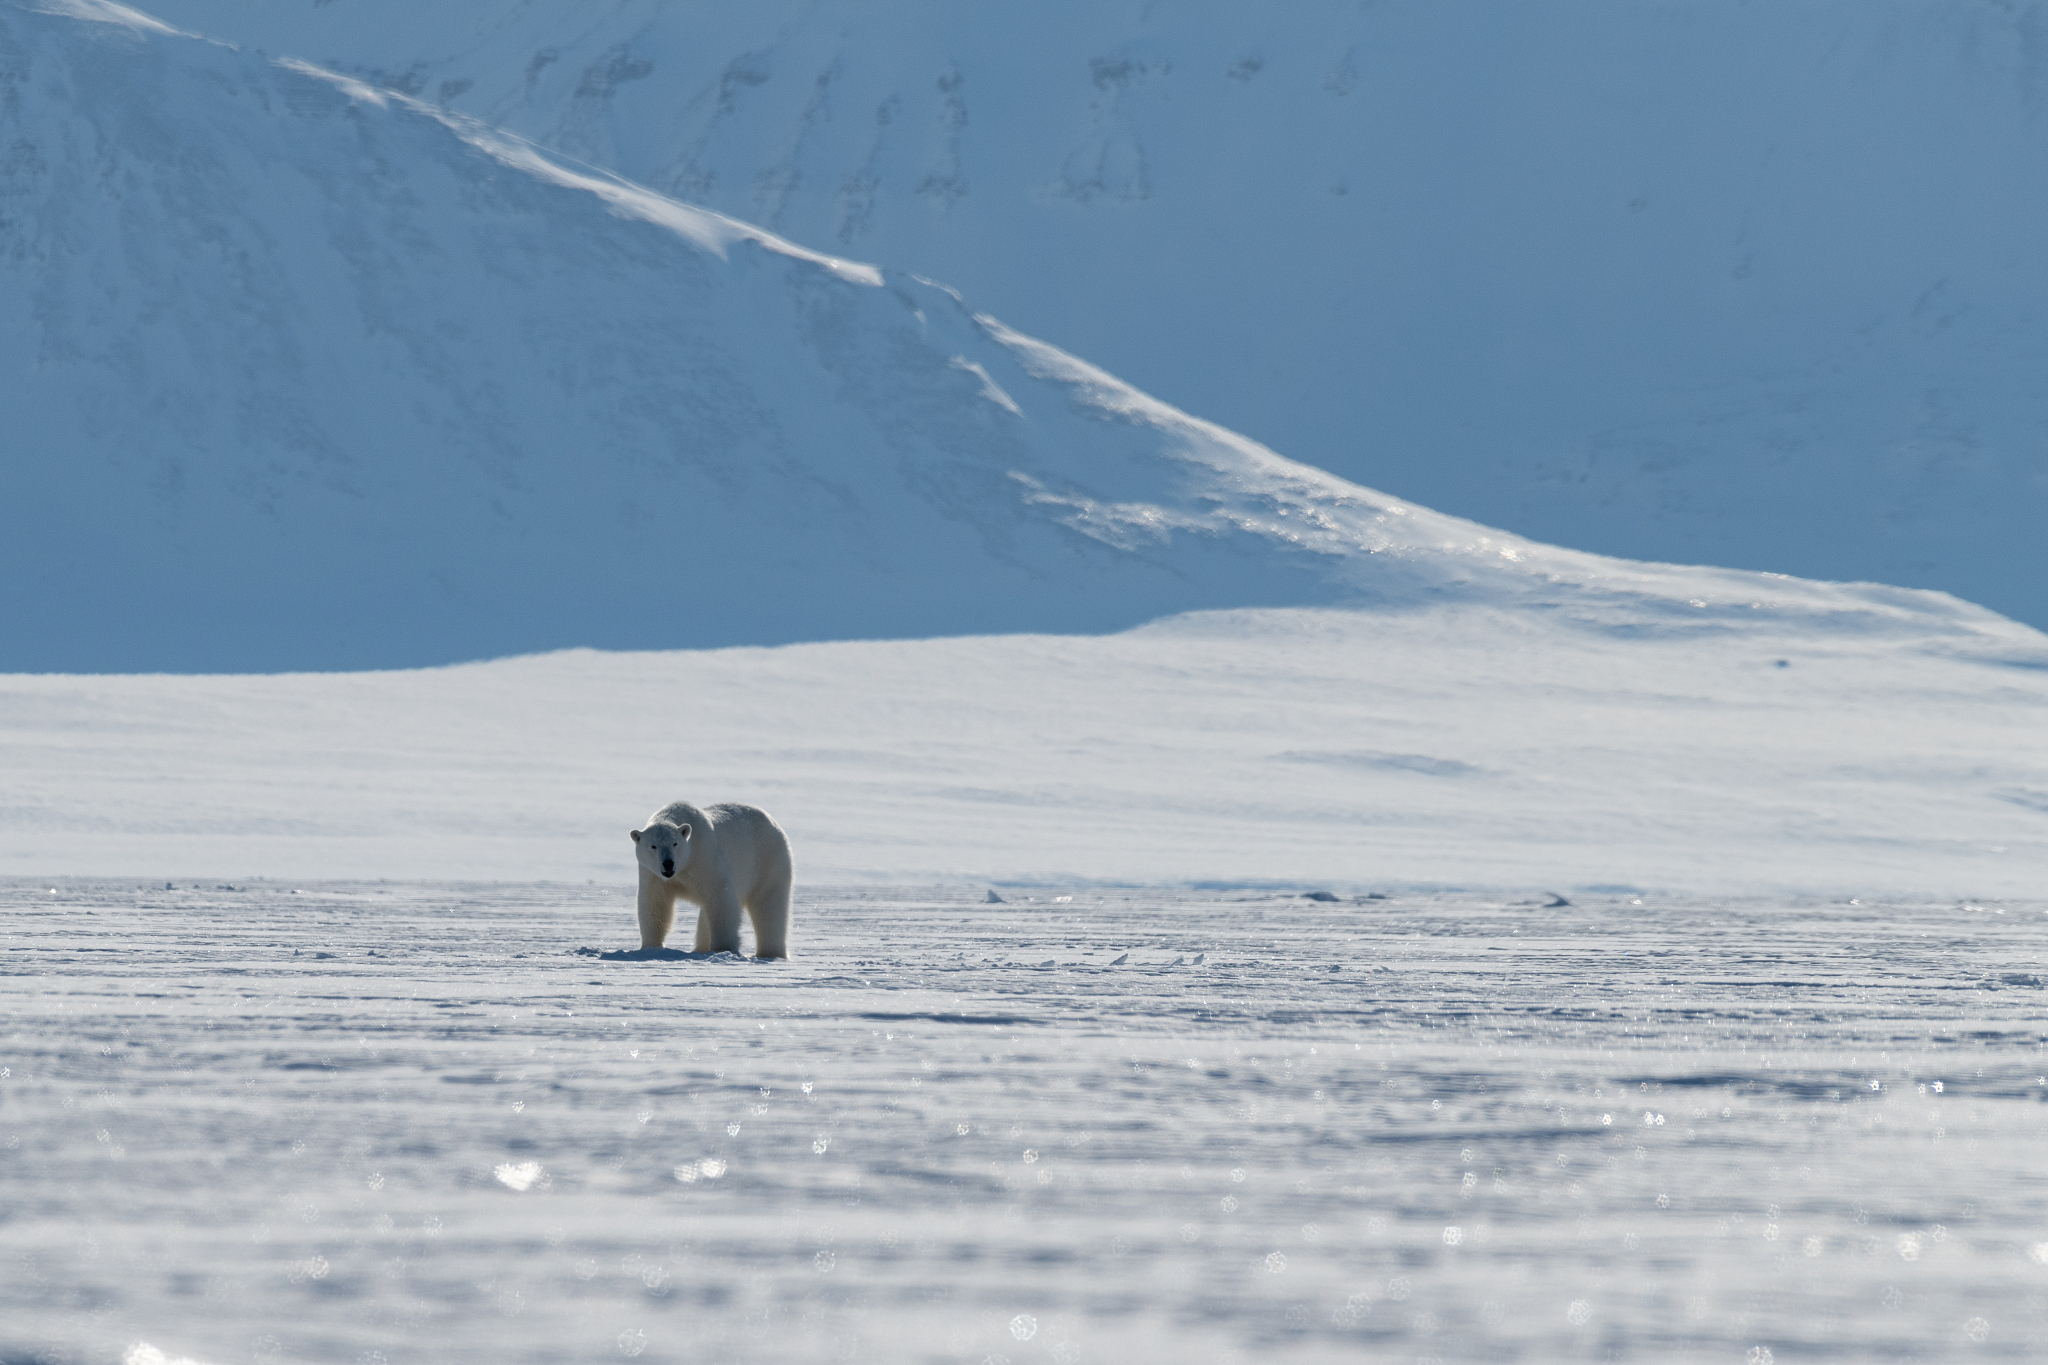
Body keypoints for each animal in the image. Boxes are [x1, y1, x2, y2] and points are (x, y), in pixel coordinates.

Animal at [630, 801, 793, 958]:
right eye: (653, 846)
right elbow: (654, 903)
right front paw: (650, 947)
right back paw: (700, 949)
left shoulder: (704, 858)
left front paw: (723, 949)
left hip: (768, 860)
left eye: (675, 843)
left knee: (768, 905)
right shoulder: (653, 875)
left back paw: (769, 953)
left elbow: (720, 898)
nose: (668, 863)